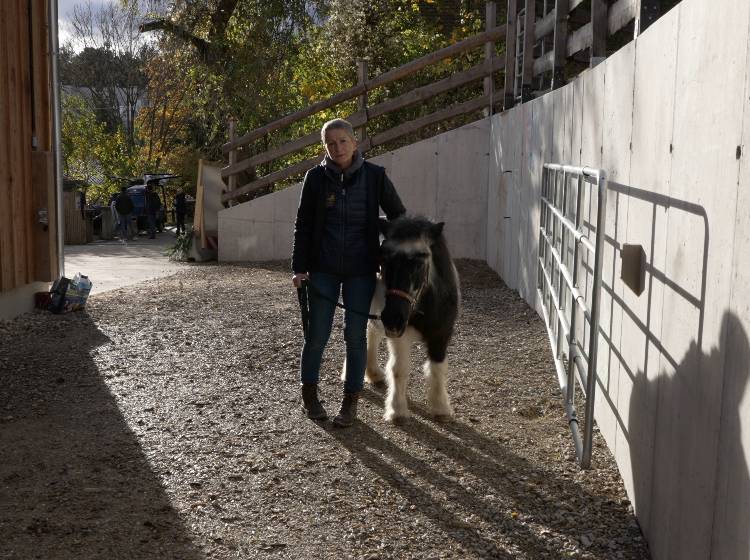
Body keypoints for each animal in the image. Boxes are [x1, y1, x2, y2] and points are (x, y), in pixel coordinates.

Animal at [368, 214, 462, 420]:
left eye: (420, 260)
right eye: (384, 259)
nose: (393, 317)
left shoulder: (441, 334)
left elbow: (437, 368)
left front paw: (440, 407)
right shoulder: (399, 335)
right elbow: (399, 369)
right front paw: (397, 410)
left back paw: (373, 373)